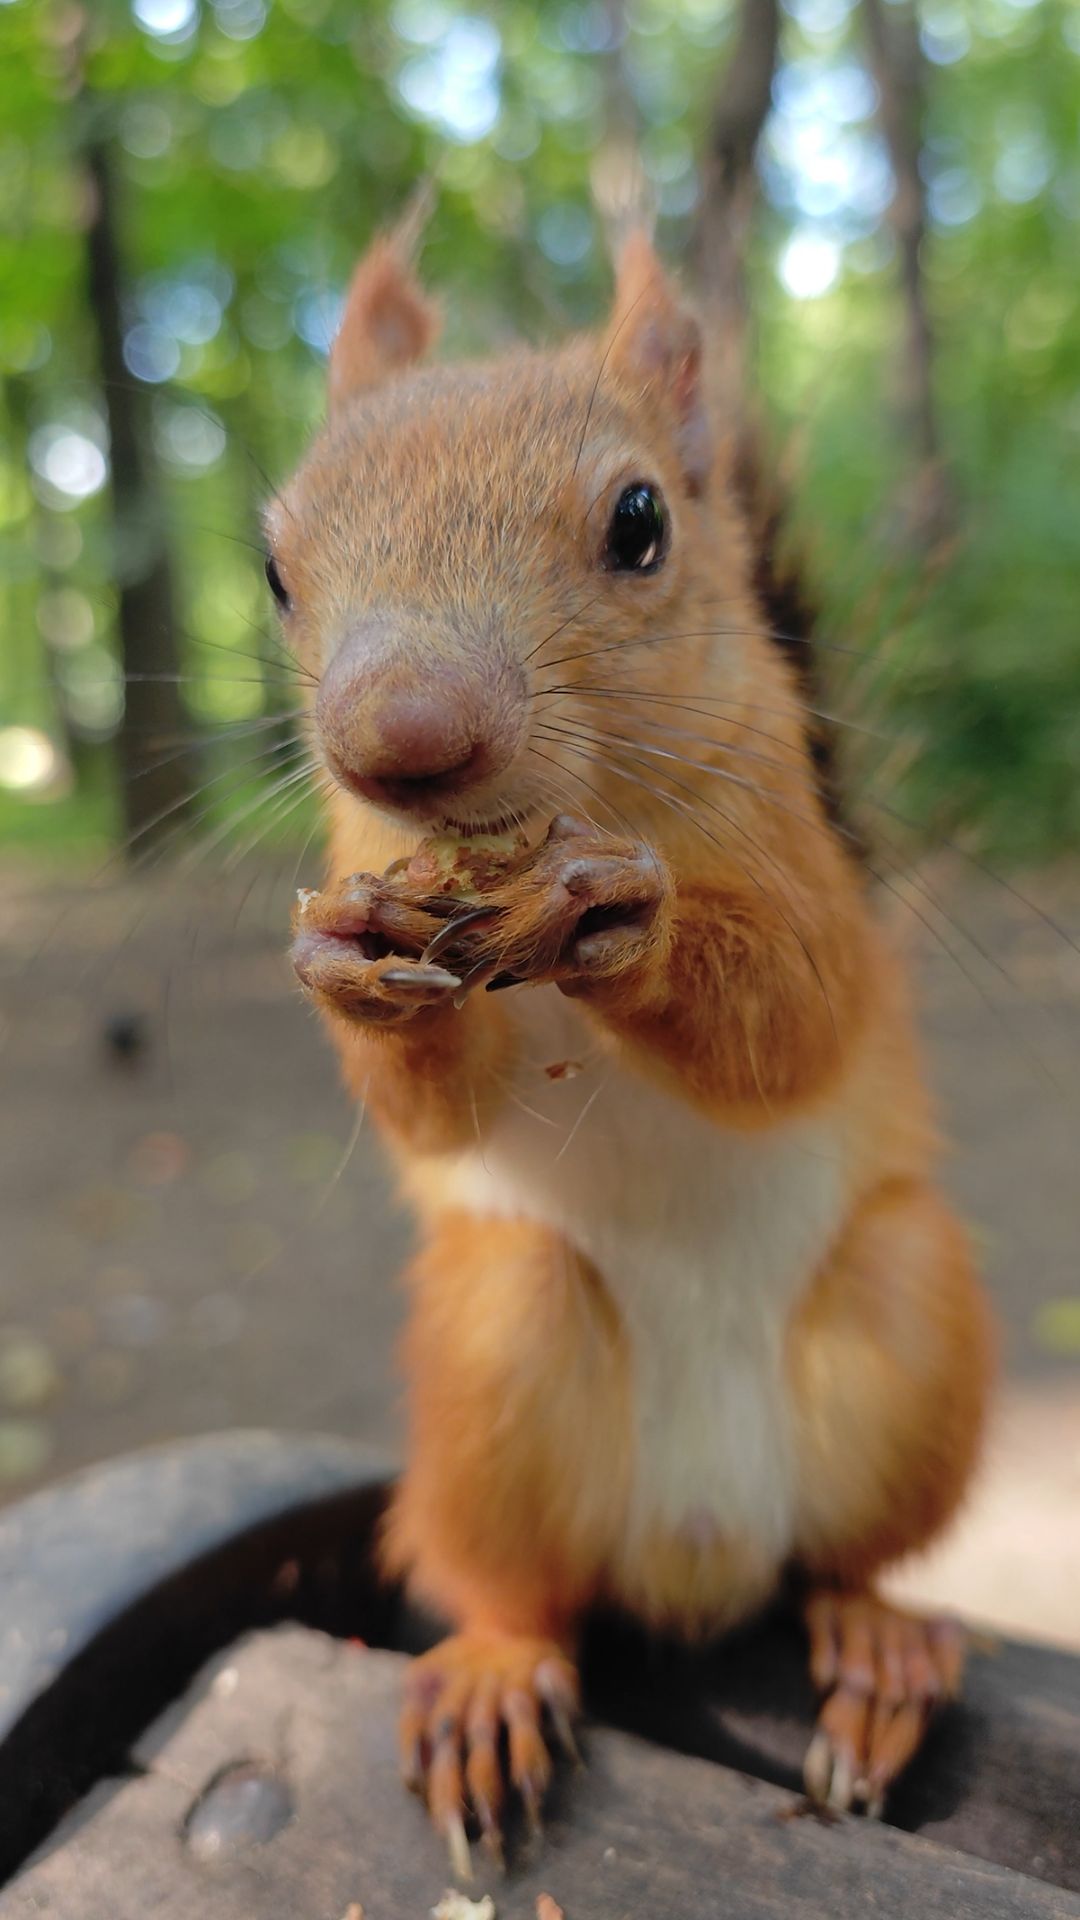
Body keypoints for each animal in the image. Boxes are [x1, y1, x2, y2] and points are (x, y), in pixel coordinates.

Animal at [269, 207, 995, 1874]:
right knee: (515, 1593)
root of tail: (694, 1555)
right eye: (273, 567)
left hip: (906, 1318)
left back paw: (880, 1654)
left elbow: (796, 1016)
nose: (400, 737)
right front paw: (340, 961)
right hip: (498, 1353)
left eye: (644, 524)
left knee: (844, 1564)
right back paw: (490, 1679)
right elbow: (436, 1115)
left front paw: (627, 916)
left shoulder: (808, 877)